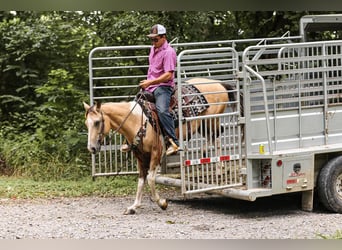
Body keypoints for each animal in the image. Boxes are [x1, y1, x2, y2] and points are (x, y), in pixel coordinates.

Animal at [83, 77, 235, 215]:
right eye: (86, 124)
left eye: (97, 122)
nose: (92, 148)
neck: (136, 120)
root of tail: (217, 83)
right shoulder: (140, 155)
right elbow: (141, 180)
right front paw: (134, 206)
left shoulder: (156, 152)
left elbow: (150, 178)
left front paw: (162, 203)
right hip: (203, 124)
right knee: (214, 138)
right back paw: (215, 164)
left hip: (210, 120)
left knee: (216, 137)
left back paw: (215, 164)